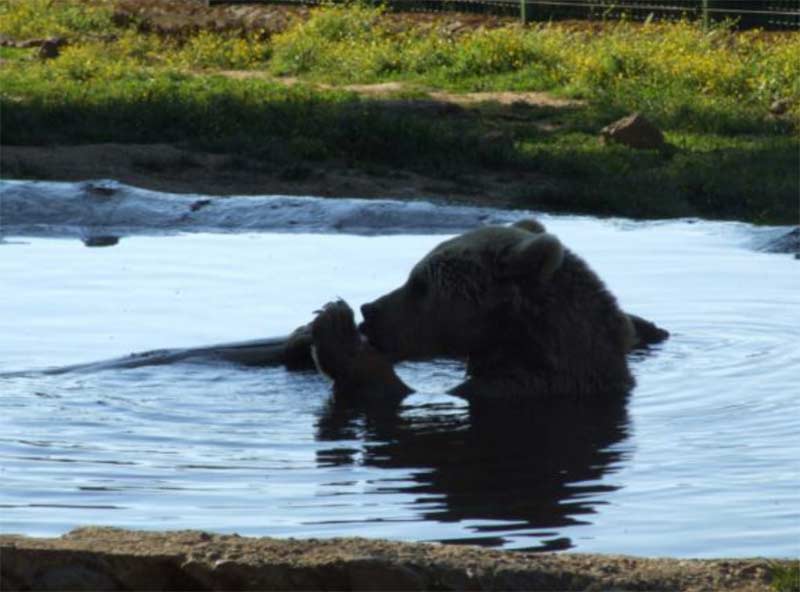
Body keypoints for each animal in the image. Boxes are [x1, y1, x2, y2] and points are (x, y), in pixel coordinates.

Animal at [306, 220, 668, 404]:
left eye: (420, 283)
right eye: (413, 276)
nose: (370, 311)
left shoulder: (524, 388)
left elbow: (395, 394)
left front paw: (334, 327)